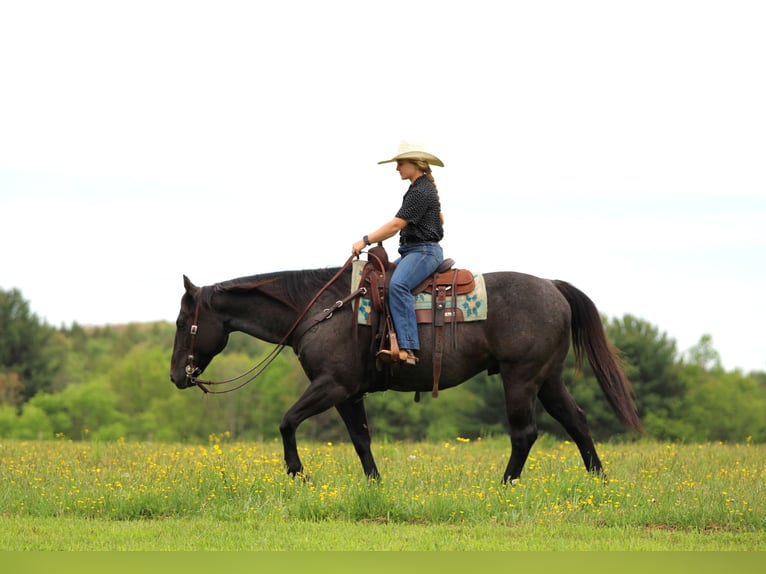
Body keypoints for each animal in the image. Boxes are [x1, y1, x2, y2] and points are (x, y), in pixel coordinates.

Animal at [169, 257, 642, 484]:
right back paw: (600, 483)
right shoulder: (349, 393)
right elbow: (361, 440)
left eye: (181, 321)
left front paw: (297, 473)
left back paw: (505, 484)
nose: (176, 376)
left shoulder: (331, 385)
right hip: (548, 379)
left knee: (525, 433)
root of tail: (553, 287)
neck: (322, 308)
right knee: (577, 422)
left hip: (521, 379)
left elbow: (287, 421)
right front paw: (375, 484)